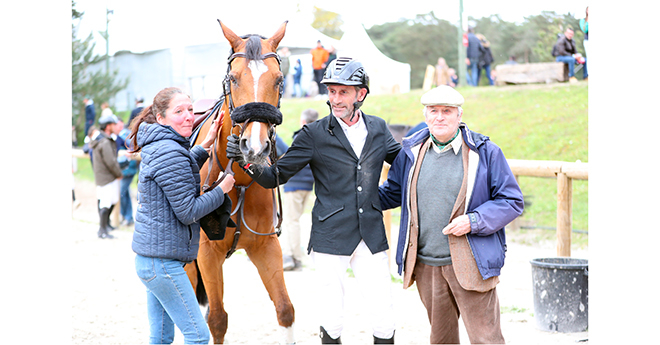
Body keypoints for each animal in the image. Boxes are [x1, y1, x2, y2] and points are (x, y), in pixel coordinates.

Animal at [182, 20, 292, 342]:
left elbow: (285, 310)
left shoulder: (265, 247)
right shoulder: (206, 254)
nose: (253, 147)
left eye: (279, 80)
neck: (239, 181)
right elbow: (217, 319)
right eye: (233, 78)